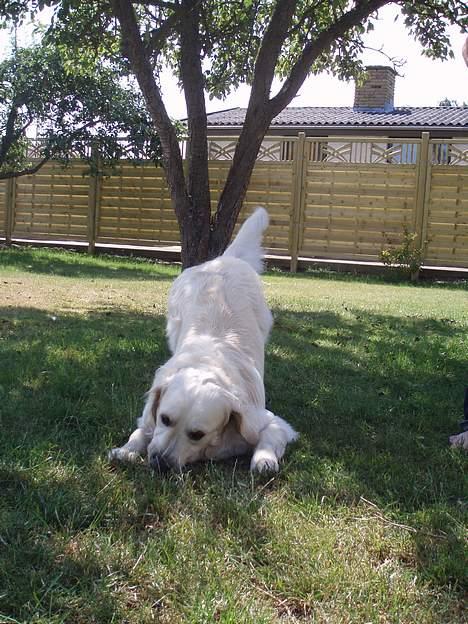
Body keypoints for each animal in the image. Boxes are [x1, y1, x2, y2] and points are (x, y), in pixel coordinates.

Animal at [110, 208, 296, 472]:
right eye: (165, 419)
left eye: (197, 434)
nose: (160, 462)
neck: (206, 364)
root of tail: (223, 259)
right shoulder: (148, 416)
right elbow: (141, 430)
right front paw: (126, 450)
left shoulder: (270, 421)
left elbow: (270, 436)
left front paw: (264, 460)